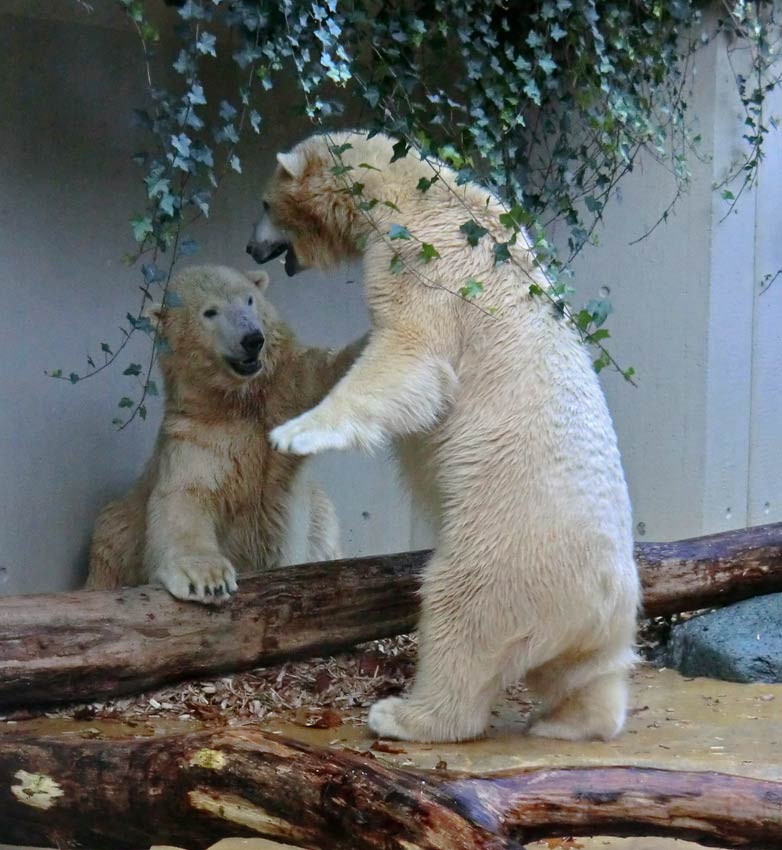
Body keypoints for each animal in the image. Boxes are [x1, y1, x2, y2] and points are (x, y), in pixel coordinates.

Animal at [86, 264, 364, 604]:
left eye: (249, 300)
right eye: (210, 312)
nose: (252, 339)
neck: (236, 403)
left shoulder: (281, 399)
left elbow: (319, 376)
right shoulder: (199, 437)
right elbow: (185, 497)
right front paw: (206, 579)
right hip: (115, 535)